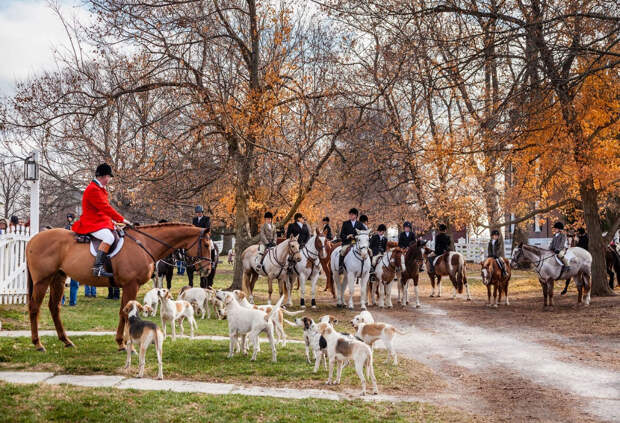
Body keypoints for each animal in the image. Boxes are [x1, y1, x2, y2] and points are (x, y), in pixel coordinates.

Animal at [26, 224, 212, 352]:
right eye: (206, 245)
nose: (207, 269)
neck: (144, 244)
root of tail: (34, 239)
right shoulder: (131, 285)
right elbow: (125, 314)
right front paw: (125, 344)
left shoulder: (128, 286)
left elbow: (124, 312)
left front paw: (121, 342)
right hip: (42, 281)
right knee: (35, 308)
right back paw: (38, 344)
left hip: (58, 278)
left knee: (54, 307)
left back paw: (66, 340)